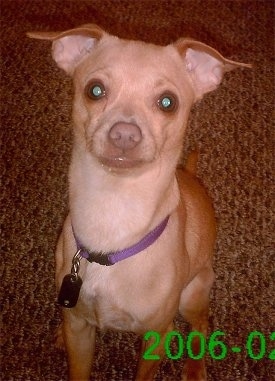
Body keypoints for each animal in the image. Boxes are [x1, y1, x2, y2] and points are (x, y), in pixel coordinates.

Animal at [28, 25, 252, 378]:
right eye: (94, 90)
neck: (113, 214)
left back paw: (195, 368)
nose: (124, 134)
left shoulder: (157, 337)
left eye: (168, 102)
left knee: (200, 324)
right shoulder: (79, 328)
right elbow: (79, 367)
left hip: (192, 295)